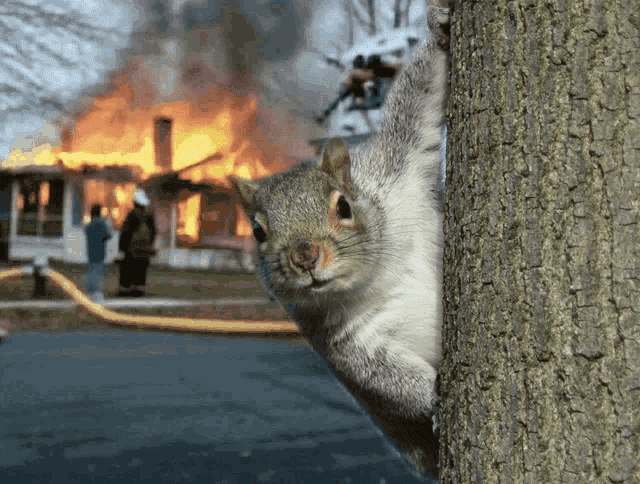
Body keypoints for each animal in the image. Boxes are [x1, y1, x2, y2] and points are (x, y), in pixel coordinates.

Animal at [231, 4, 450, 477]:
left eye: (344, 206)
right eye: (258, 233)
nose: (305, 257)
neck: (378, 273)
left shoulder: (398, 168)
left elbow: (417, 101)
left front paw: (440, 27)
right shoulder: (342, 341)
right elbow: (389, 383)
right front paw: (436, 398)